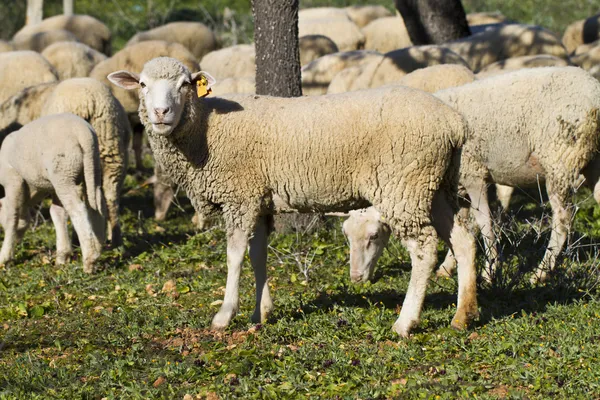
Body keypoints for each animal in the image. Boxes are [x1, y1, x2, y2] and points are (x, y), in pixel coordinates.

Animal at [0, 114, 105, 274]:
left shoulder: (13, 179)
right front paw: (63, 256)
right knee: (97, 204)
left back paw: (90, 260)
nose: (18, 241)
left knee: (78, 209)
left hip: (63, 171)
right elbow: (57, 213)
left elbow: (12, 216)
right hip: (90, 168)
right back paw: (98, 247)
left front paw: (4, 258)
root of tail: (84, 133)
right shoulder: (51, 187)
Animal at [110, 56, 480, 338]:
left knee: (424, 248)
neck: (205, 133)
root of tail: (454, 123)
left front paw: (225, 314)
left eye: (185, 84)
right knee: (463, 239)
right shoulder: (258, 199)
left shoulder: (240, 196)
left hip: (403, 185)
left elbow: (234, 255)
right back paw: (463, 315)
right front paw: (261, 312)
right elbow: (258, 255)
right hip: (435, 185)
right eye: (142, 84)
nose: (160, 113)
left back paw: (405, 322)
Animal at [340, 66, 600, 284]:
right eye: (347, 235)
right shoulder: (458, 189)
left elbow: (484, 224)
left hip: (561, 158)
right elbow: (461, 225)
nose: (356, 278)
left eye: (373, 236)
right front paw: (449, 267)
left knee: (563, 219)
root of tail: (594, 92)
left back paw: (541, 272)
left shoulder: (475, 174)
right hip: (592, 161)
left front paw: (489, 272)